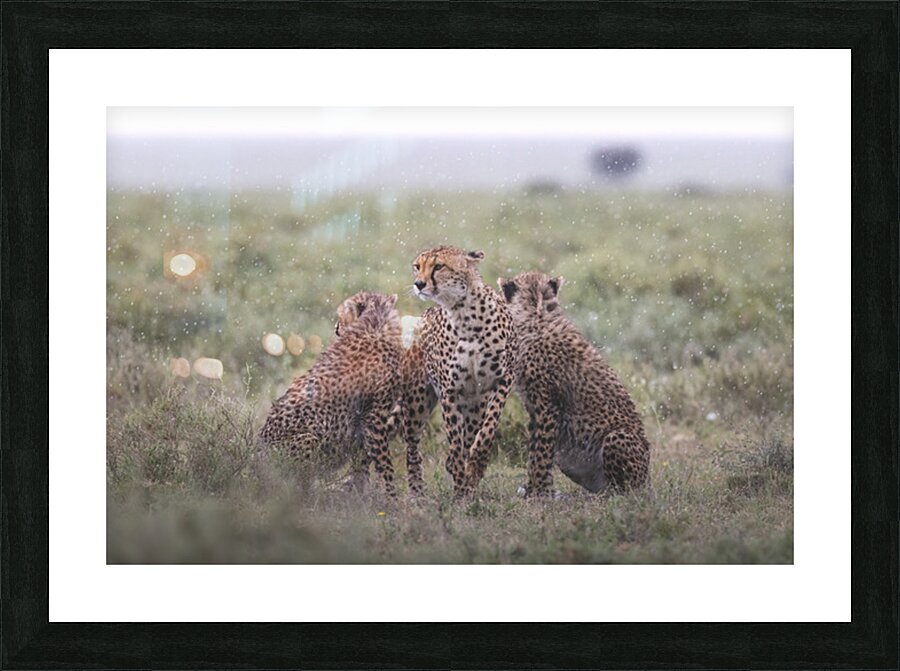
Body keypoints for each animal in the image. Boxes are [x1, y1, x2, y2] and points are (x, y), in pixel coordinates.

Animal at [258, 291, 403, 497]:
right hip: (308, 439)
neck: (374, 324)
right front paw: (392, 497)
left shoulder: (364, 423)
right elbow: (385, 466)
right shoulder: (374, 421)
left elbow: (362, 465)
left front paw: (361, 496)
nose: (336, 327)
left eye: (341, 316)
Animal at [401, 245, 516, 498]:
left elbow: (487, 431)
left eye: (438, 266)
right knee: (412, 446)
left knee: (471, 433)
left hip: (474, 405)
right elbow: (455, 441)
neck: (465, 313)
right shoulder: (450, 391)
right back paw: (417, 492)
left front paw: (474, 469)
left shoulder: (502, 381)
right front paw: (460, 483)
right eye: (417, 266)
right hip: (416, 403)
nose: (419, 284)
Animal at [497, 270, 651, 497]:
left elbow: (541, 452)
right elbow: (535, 450)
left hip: (617, 438)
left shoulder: (547, 406)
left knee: (624, 490)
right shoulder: (534, 407)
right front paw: (533, 488)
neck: (536, 313)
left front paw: (540, 491)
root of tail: (648, 481)